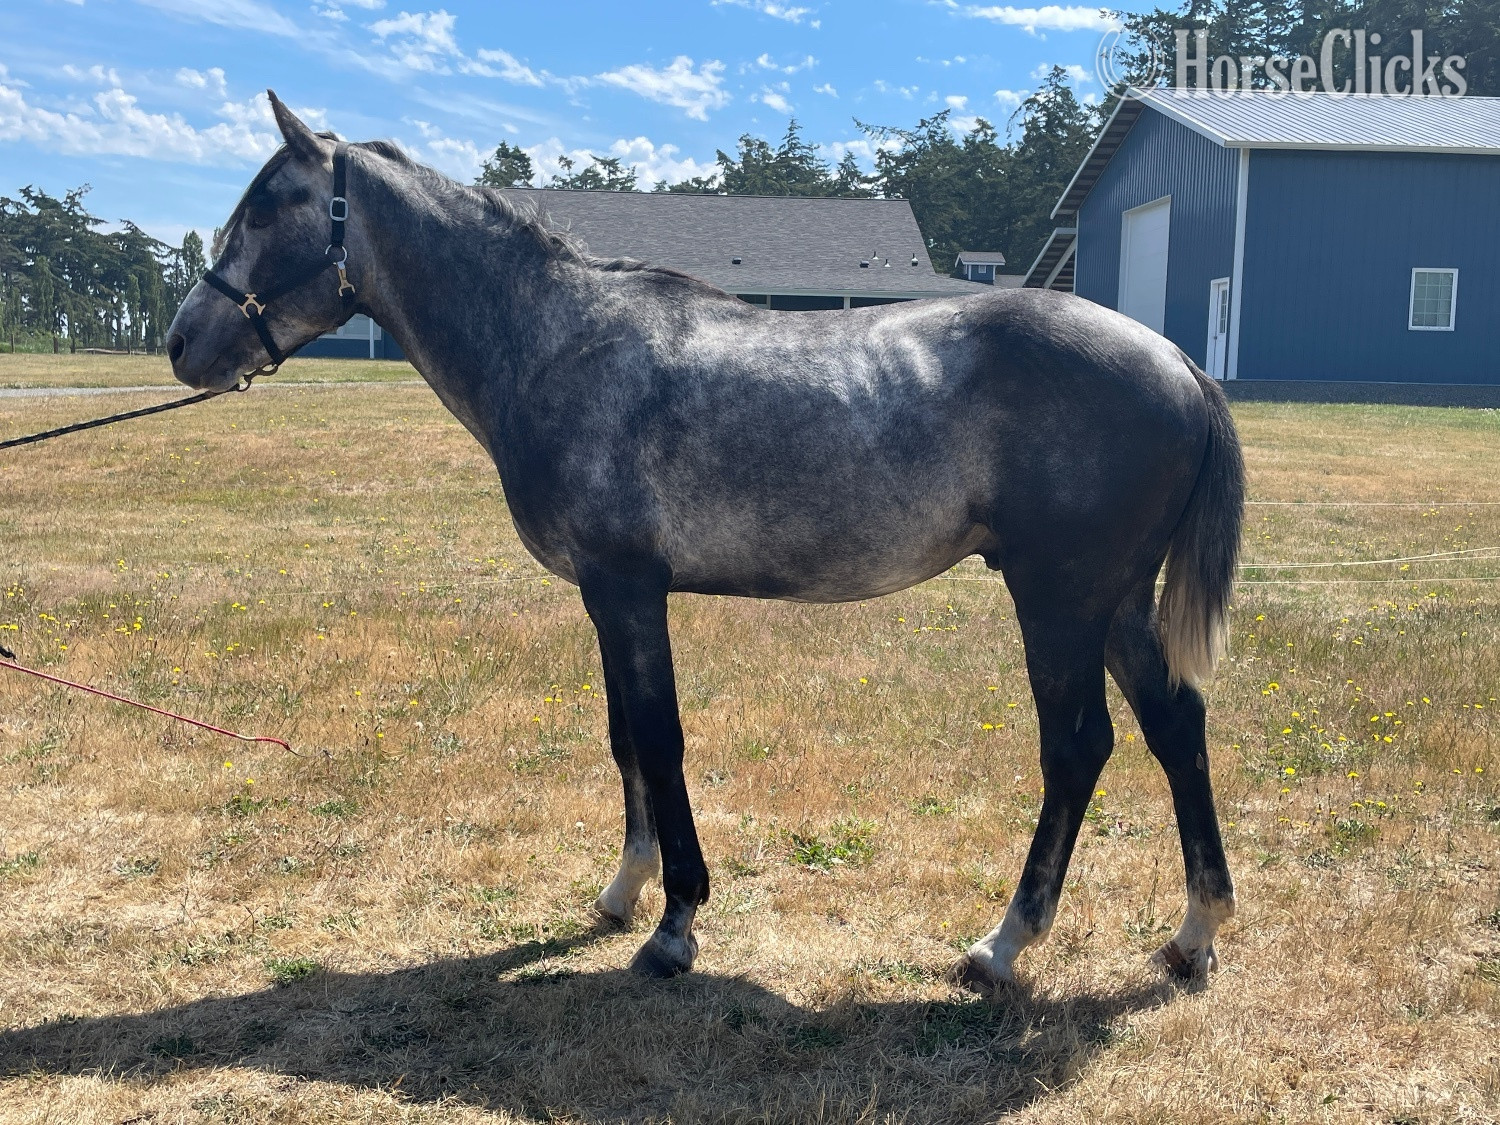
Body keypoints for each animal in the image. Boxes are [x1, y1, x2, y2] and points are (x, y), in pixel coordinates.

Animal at [166, 93, 1245, 993]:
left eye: (270, 206)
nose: (182, 342)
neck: (559, 344)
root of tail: (1179, 362)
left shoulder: (630, 587)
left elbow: (661, 736)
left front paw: (674, 924)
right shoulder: (602, 596)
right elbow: (623, 738)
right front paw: (622, 891)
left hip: (1059, 598)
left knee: (1078, 746)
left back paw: (1005, 943)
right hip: (1115, 602)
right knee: (1175, 726)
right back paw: (1193, 934)